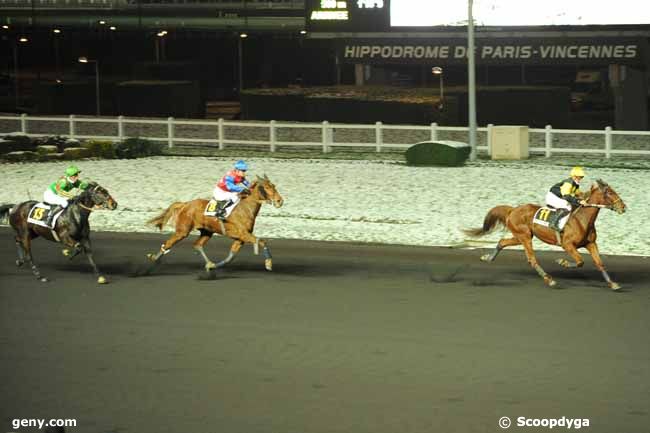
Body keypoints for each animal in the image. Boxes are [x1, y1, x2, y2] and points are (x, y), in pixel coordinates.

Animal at [147, 175, 284, 270]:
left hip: (207, 231)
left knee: (197, 245)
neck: (245, 208)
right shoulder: (242, 234)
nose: (280, 201)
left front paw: (213, 266)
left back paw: (209, 262)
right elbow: (262, 241)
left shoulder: (240, 238)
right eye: (267, 187)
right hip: (183, 230)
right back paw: (154, 258)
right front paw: (268, 263)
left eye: (274, 186)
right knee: (168, 243)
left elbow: (231, 256)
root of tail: (185, 204)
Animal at [464, 180, 624, 290]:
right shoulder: (567, 245)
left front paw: (613, 284)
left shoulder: (590, 244)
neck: (582, 219)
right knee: (532, 259)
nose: (623, 207)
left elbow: (600, 264)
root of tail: (512, 210)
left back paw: (488, 257)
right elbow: (580, 261)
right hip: (524, 237)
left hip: (521, 236)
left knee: (502, 242)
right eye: (610, 193)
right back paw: (549, 279)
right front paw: (562, 262)